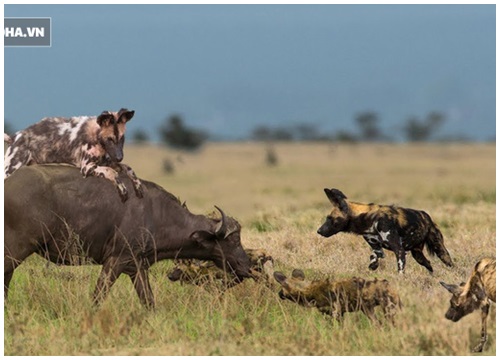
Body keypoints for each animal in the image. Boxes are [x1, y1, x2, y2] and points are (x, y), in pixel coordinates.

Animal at [4, 108, 143, 201]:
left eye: (122, 138)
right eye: (110, 139)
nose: (119, 157)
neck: (96, 136)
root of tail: (14, 136)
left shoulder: (105, 161)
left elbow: (128, 168)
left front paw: (138, 187)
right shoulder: (87, 167)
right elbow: (112, 172)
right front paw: (123, 190)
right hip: (10, 169)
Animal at [4, 165, 250, 308]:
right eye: (232, 240)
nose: (246, 266)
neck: (157, 215)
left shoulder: (137, 266)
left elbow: (149, 301)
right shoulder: (115, 260)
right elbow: (98, 297)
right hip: (16, 250)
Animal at [274, 268, 402, 324]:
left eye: (281, 290)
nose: (279, 294)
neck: (307, 289)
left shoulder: (335, 313)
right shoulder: (340, 313)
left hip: (387, 310)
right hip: (368, 310)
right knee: (378, 324)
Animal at [318, 188, 456, 272]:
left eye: (330, 218)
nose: (318, 231)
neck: (369, 219)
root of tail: (427, 216)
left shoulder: (399, 250)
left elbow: (400, 270)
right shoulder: (377, 248)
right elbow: (375, 256)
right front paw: (373, 265)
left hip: (440, 250)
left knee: (450, 263)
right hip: (417, 255)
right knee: (428, 265)